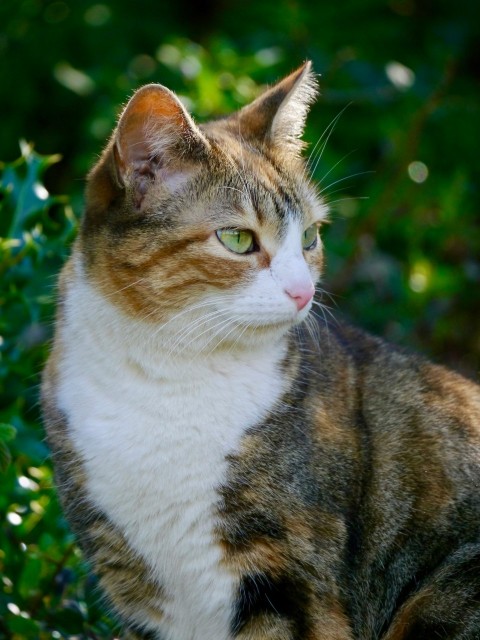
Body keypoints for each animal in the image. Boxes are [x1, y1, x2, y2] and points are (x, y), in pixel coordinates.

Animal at [42, 61, 480, 640]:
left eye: (310, 237)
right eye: (237, 239)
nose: (304, 292)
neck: (167, 378)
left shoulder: (291, 579)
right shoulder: (135, 585)